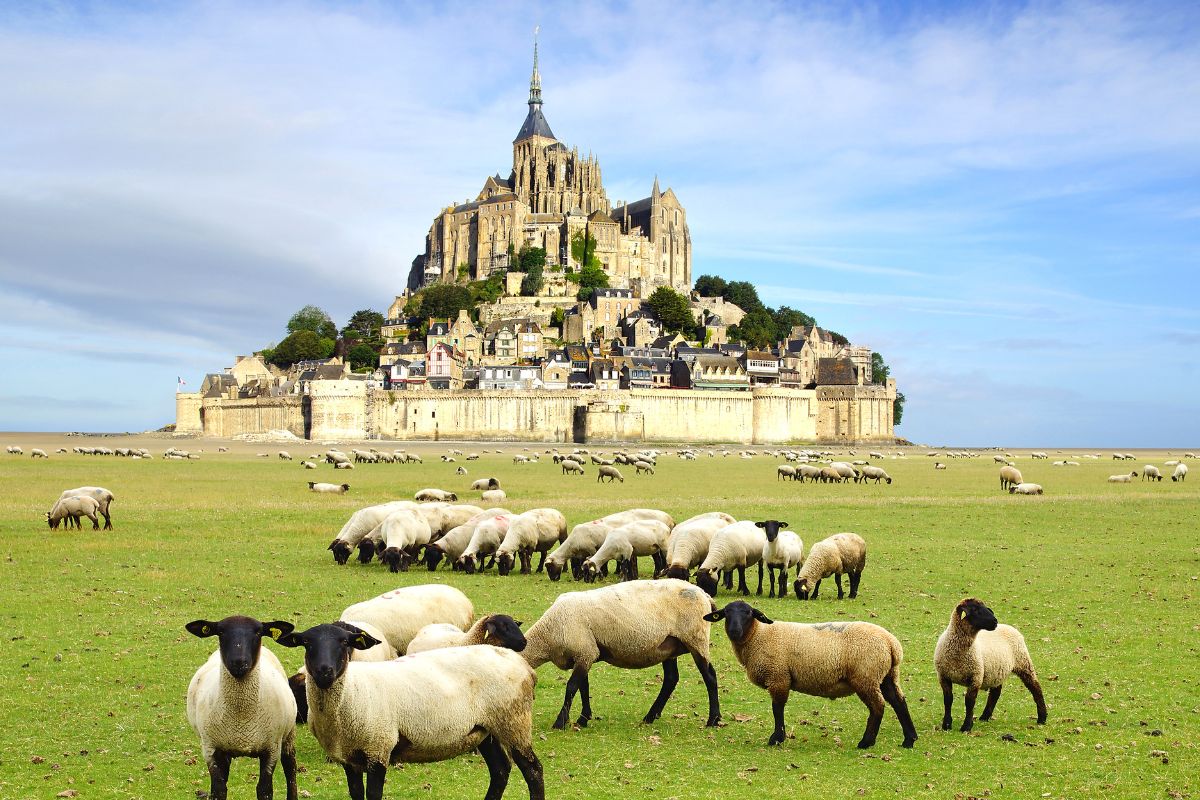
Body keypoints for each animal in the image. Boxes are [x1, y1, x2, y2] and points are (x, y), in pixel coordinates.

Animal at [187, 618, 302, 800]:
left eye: (258, 632)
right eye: (221, 631)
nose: (239, 662)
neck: (242, 716)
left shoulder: (271, 749)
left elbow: (264, 790)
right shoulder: (210, 748)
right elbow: (219, 790)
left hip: (288, 734)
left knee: (290, 767)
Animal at [276, 623, 544, 800]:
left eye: (344, 642)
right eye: (307, 643)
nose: (324, 671)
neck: (352, 694)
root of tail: (523, 666)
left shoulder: (378, 749)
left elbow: (373, 794)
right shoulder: (349, 759)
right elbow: (356, 794)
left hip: (513, 721)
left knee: (533, 771)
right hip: (485, 729)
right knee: (500, 771)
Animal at [700, 599, 916, 753]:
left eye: (749, 613)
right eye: (726, 614)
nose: (734, 631)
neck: (758, 636)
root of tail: (891, 644)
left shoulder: (778, 677)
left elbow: (777, 709)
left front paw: (776, 738)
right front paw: (778, 737)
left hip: (866, 676)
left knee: (878, 706)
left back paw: (866, 742)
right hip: (887, 675)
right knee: (899, 702)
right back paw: (909, 739)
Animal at [931, 597, 1046, 734]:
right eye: (975, 609)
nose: (995, 621)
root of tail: (1008, 626)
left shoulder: (975, 677)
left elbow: (969, 702)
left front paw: (966, 726)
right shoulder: (943, 676)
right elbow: (948, 700)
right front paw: (947, 725)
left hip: (1023, 663)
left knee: (1036, 688)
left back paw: (1042, 718)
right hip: (997, 671)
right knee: (995, 693)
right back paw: (984, 716)